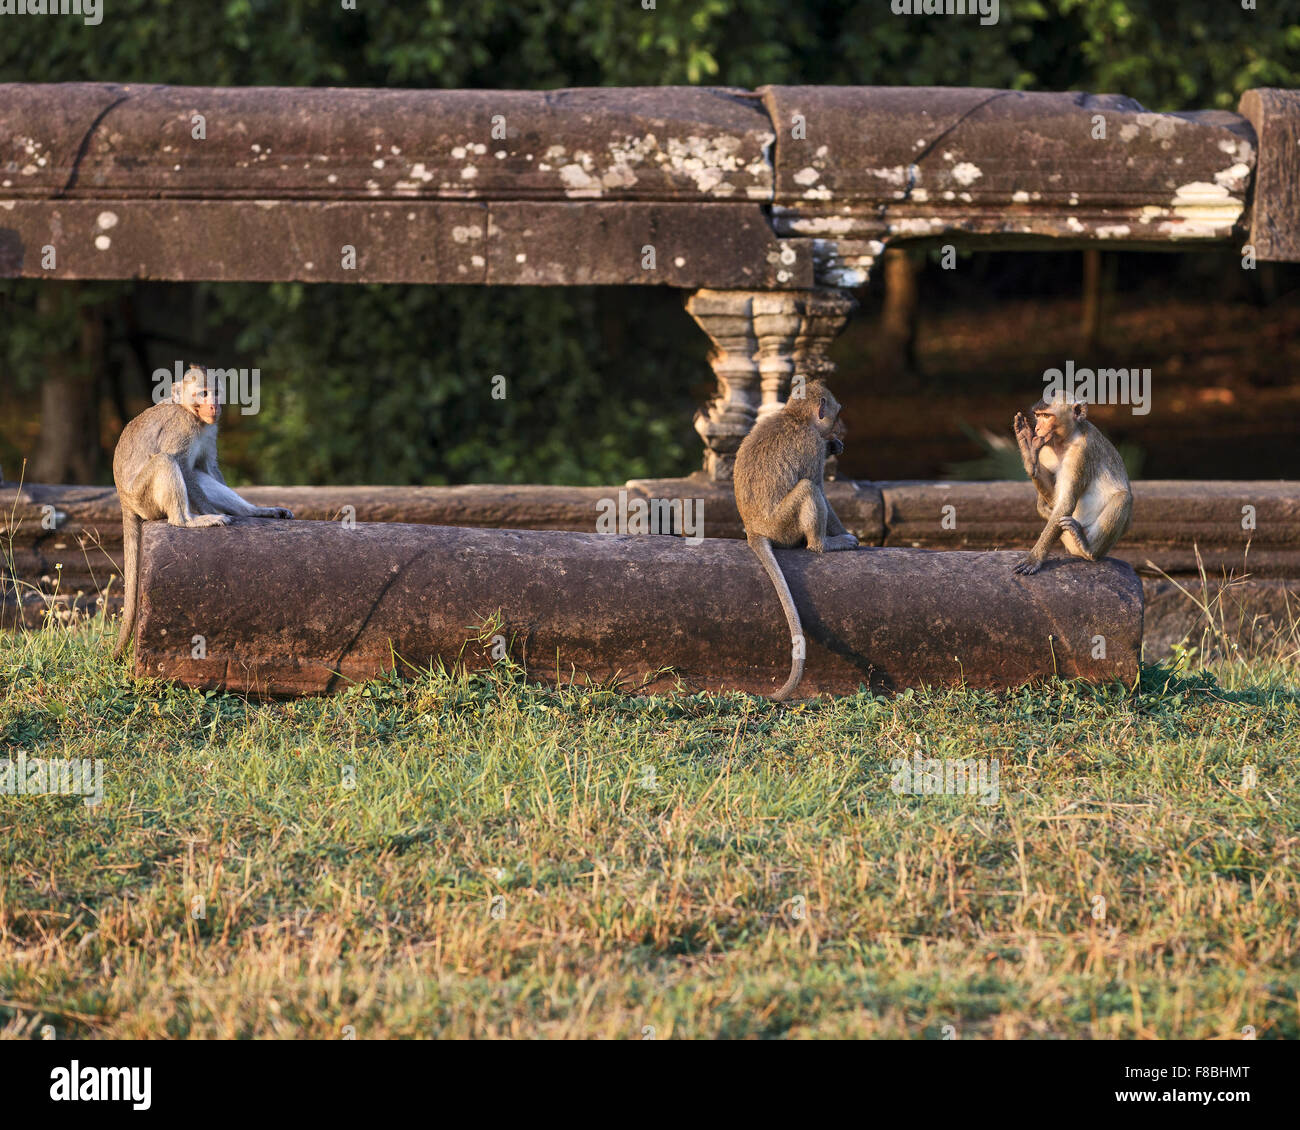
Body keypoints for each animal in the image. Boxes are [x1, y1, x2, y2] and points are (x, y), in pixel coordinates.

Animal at [111, 361, 292, 660]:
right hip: (143, 498)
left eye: (216, 392)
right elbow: (183, 465)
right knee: (166, 461)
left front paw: (254, 511)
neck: (191, 414)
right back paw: (187, 521)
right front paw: (208, 510)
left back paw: (254, 511)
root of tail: (124, 500)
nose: (214, 406)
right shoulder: (180, 429)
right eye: (203, 393)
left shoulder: (210, 431)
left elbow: (206, 468)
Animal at [738, 377, 857, 696]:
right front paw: (845, 536)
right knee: (807, 489)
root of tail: (754, 529)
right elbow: (819, 488)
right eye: (837, 414)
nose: (840, 431)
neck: (795, 417)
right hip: (783, 526)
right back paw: (823, 545)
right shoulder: (812, 444)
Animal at [1008, 395, 1133, 572]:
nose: (1037, 428)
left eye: (1047, 416)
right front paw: (1029, 456)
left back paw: (1088, 549)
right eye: (1038, 415)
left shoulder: (1081, 452)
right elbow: (1055, 501)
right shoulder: (1046, 449)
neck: (1067, 438)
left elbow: (1066, 503)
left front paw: (1034, 558)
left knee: (1123, 497)